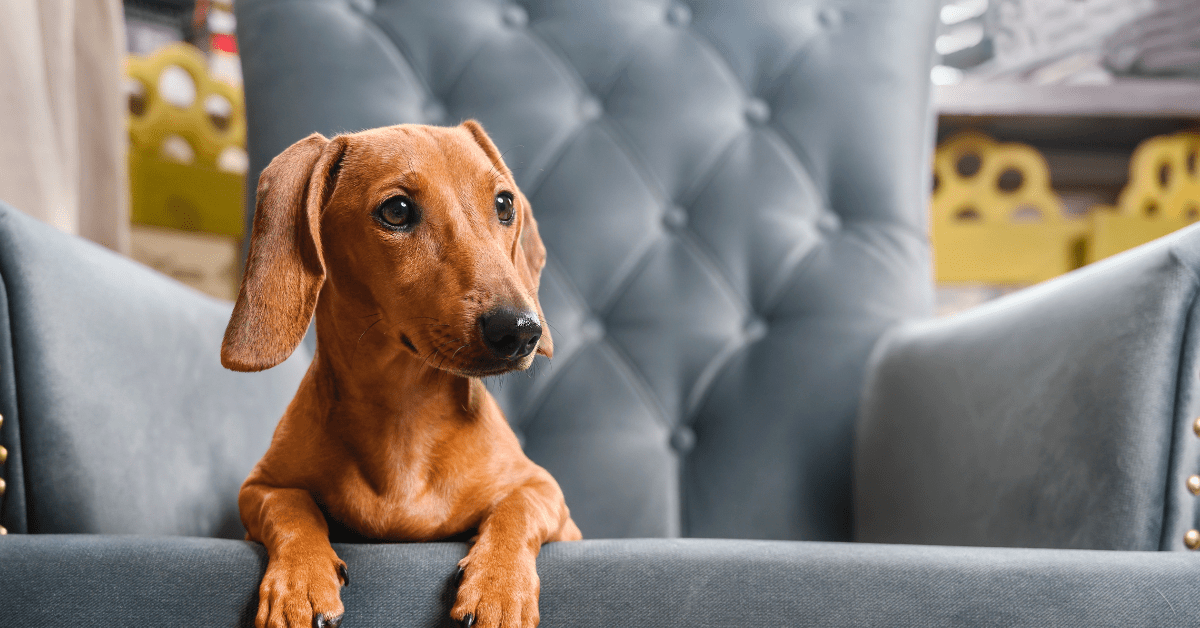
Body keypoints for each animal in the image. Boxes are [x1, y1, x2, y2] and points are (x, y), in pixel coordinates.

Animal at [225, 119, 585, 628]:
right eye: (396, 211)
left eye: (504, 203)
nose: (520, 330)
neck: (404, 416)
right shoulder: (259, 488)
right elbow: (291, 504)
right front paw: (299, 583)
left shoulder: (550, 498)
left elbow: (517, 506)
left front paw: (498, 588)